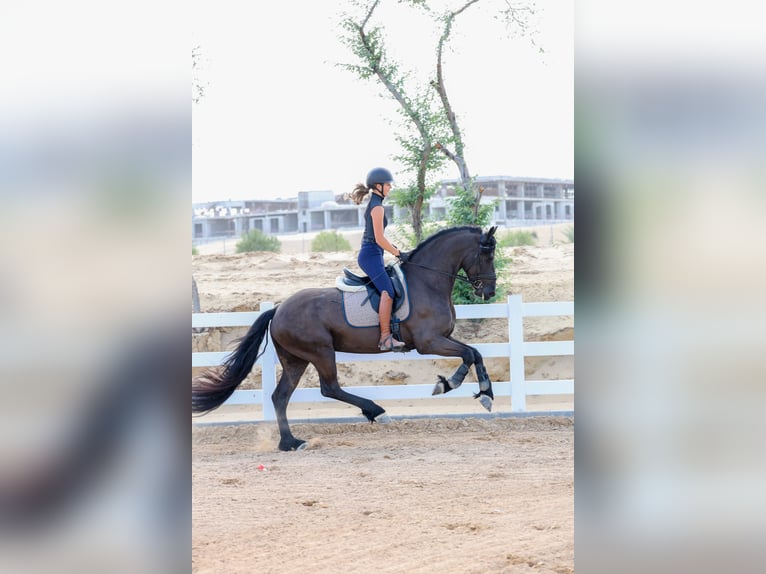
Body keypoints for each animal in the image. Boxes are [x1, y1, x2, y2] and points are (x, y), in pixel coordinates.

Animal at [192, 225, 498, 451]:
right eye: (488, 256)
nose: (489, 292)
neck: (427, 281)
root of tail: (278, 309)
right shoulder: (429, 342)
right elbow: (470, 353)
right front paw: (453, 385)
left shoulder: (441, 339)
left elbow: (475, 353)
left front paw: (483, 393)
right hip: (321, 352)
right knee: (330, 388)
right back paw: (376, 411)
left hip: (295, 360)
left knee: (280, 396)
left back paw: (290, 442)